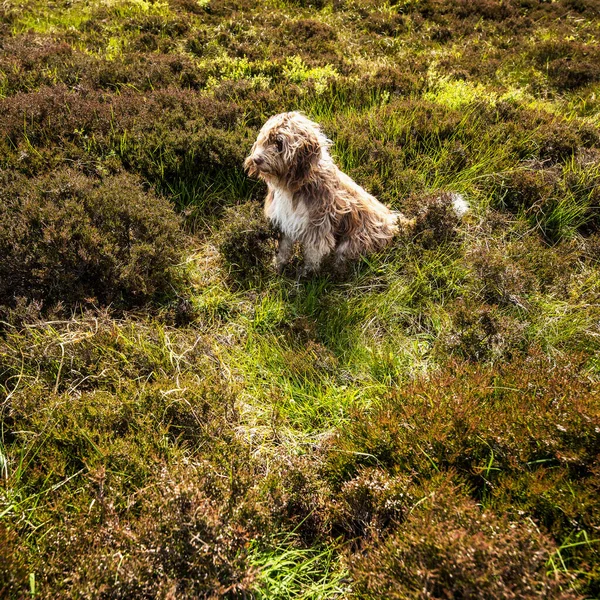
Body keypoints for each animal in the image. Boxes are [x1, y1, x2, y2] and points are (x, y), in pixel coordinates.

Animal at [244, 110, 468, 274]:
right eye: (264, 139)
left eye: (279, 143)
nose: (256, 159)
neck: (294, 184)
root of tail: (394, 223)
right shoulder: (287, 222)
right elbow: (284, 248)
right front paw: (277, 266)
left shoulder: (317, 228)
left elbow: (313, 255)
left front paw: (306, 275)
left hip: (354, 242)